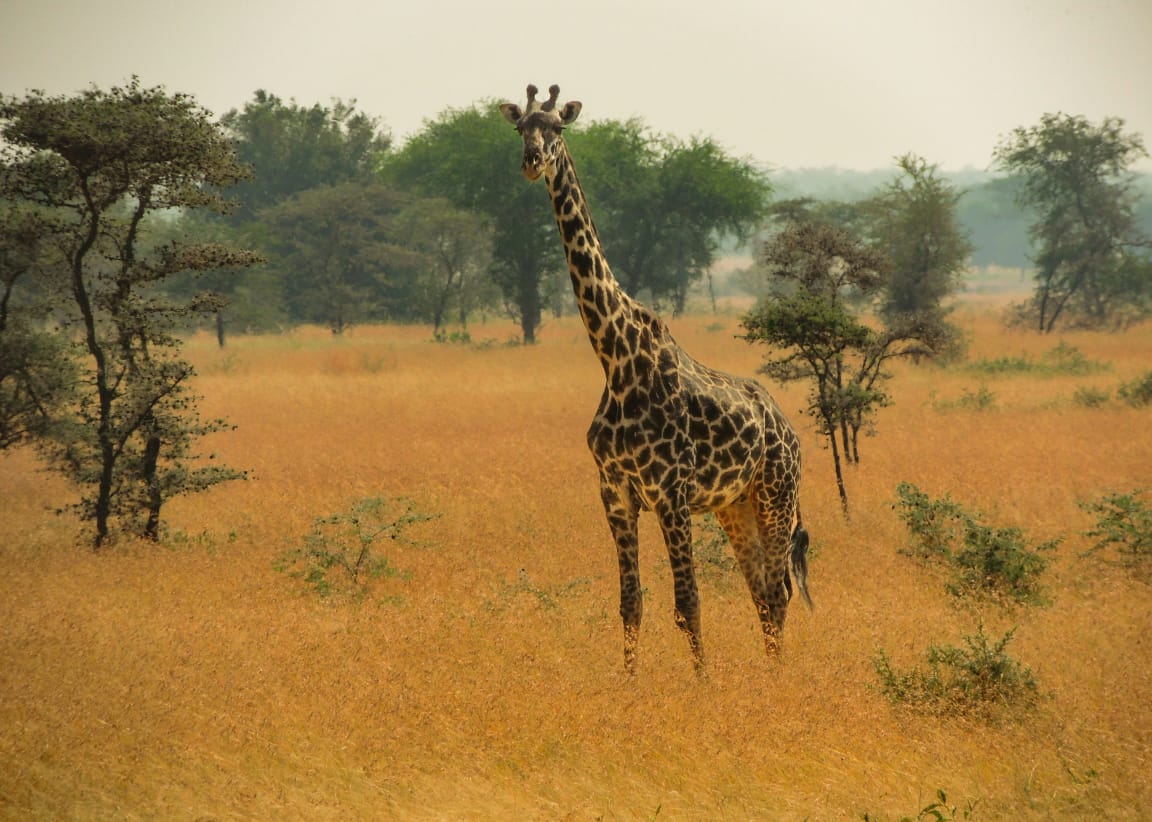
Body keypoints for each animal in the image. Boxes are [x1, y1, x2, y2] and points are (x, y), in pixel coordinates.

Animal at [500, 84, 811, 674]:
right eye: (520, 128)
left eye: (559, 129)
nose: (531, 162)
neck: (616, 358)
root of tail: (789, 431)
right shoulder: (615, 491)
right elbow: (631, 603)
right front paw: (628, 683)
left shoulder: (671, 491)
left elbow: (688, 602)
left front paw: (703, 683)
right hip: (735, 506)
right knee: (762, 589)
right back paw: (769, 675)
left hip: (775, 493)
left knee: (781, 590)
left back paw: (779, 678)